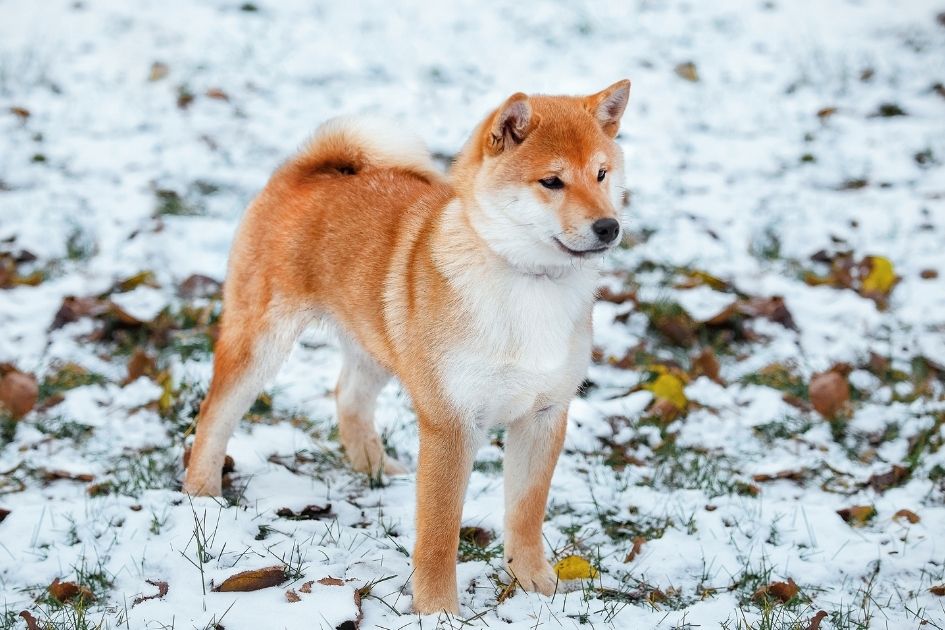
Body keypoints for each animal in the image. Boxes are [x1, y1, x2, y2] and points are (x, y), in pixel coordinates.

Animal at [182, 80, 632, 616]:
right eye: (552, 182)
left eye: (601, 174)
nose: (608, 226)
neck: (529, 283)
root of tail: (306, 170)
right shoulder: (450, 422)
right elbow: (438, 532)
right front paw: (438, 611)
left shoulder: (544, 413)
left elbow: (525, 515)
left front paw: (535, 587)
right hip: (261, 340)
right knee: (215, 413)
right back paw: (202, 494)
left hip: (379, 345)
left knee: (348, 397)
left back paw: (376, 468)